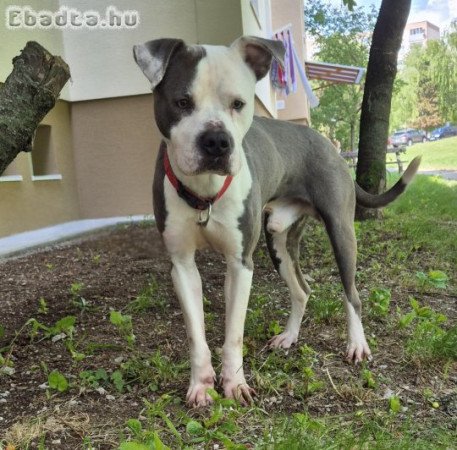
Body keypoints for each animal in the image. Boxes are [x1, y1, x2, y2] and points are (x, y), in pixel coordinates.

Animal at [132, 36, 416, 408]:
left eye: (239, 103)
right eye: (182, 102)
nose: (217, 141)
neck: (205, 194)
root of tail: (328, 143)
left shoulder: (240, 264)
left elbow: (234, 335)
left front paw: (235, 384)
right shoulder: (182, 266)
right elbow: (196, 335)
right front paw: (201, 385)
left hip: (341, 233)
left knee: (352, 294)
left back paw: (356, 344)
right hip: (279, 239)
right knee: (302, 290)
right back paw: (289, 337)